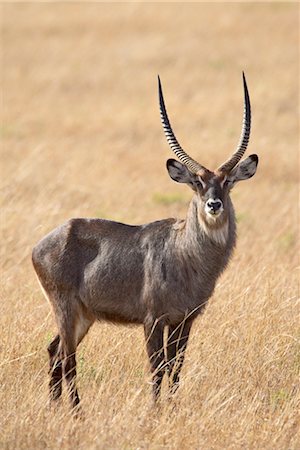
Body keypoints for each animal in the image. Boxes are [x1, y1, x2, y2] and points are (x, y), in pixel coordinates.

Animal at [32, 73, 258, 408]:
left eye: (227, 182)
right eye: (197, 184)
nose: (213, 205)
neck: (186, 254)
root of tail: (43, 242)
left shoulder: (184, 320)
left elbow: (176, 365)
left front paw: (172, 408)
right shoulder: (153, 319)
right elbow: (157, 365)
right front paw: (154, 409)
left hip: (84, 316)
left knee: (54, 352)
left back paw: (55, 407)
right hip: (65, 308)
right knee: (67, 358)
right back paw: (76, 412)